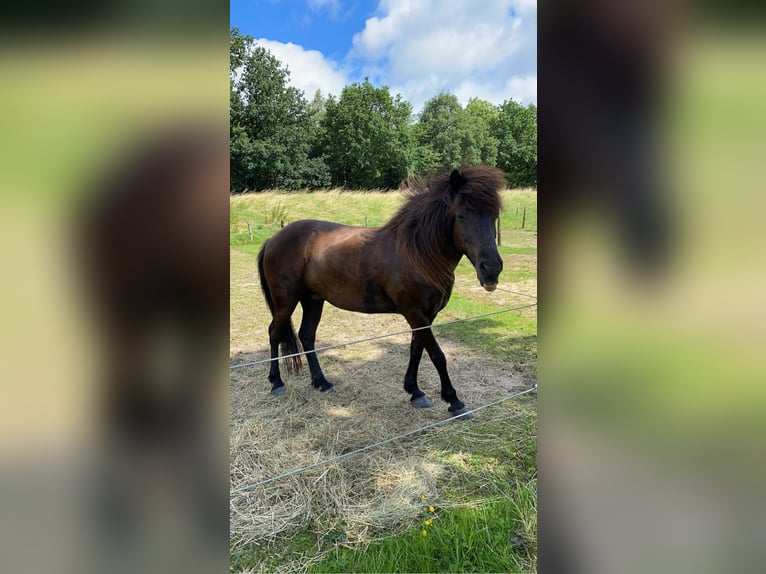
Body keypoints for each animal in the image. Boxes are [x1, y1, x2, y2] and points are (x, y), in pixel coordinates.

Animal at [256, 166, 505, 418]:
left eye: (494, 215)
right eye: (461, 215)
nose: (491, 269)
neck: (417, 255)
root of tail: (272, 238)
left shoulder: (427, 315)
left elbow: (416, 349)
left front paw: (415, 391)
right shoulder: (415, 313)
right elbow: (437, 354)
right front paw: (454, 400)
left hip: (313, 300)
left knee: (307, 336)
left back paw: (322, 382)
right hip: (285, 301)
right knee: (274, 333)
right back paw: (277, 383)